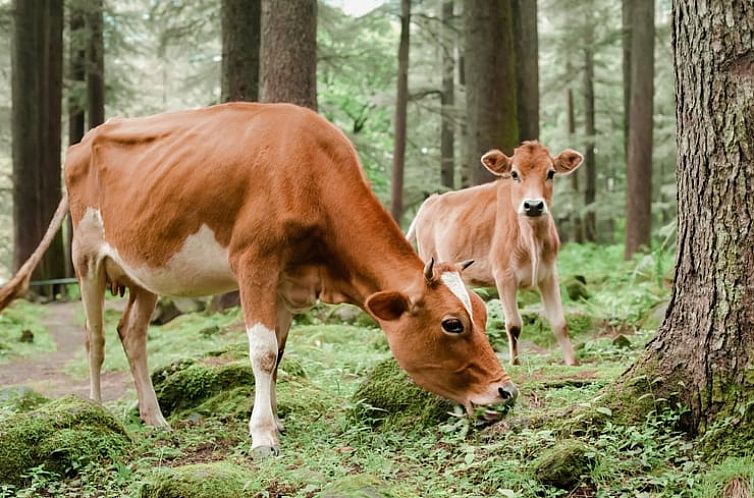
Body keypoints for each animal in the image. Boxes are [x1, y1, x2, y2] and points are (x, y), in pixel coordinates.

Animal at [0, 103, 516, 458]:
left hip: (145, 269)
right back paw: (97, 412)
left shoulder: (287, 280)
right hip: (85, 256)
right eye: (452, 324)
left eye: (482, 312)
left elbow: (280, 354)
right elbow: (263, 352)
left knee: (133, 333)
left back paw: (155, 418)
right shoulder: (255, 262)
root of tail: (86, 138)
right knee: (95, 338)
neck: (310, 173)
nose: (506, 391)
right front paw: (263, 435)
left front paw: (276, 421)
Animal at [408, 140, 584, 366]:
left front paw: (572, 362)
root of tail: (431, 200)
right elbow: (514, 324)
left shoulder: (549, 274)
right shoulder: (504, 274)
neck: (531, 238)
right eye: (514, 174)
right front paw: (514, 363)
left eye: (551, 173)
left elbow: (559, 323)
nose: (533, 205)